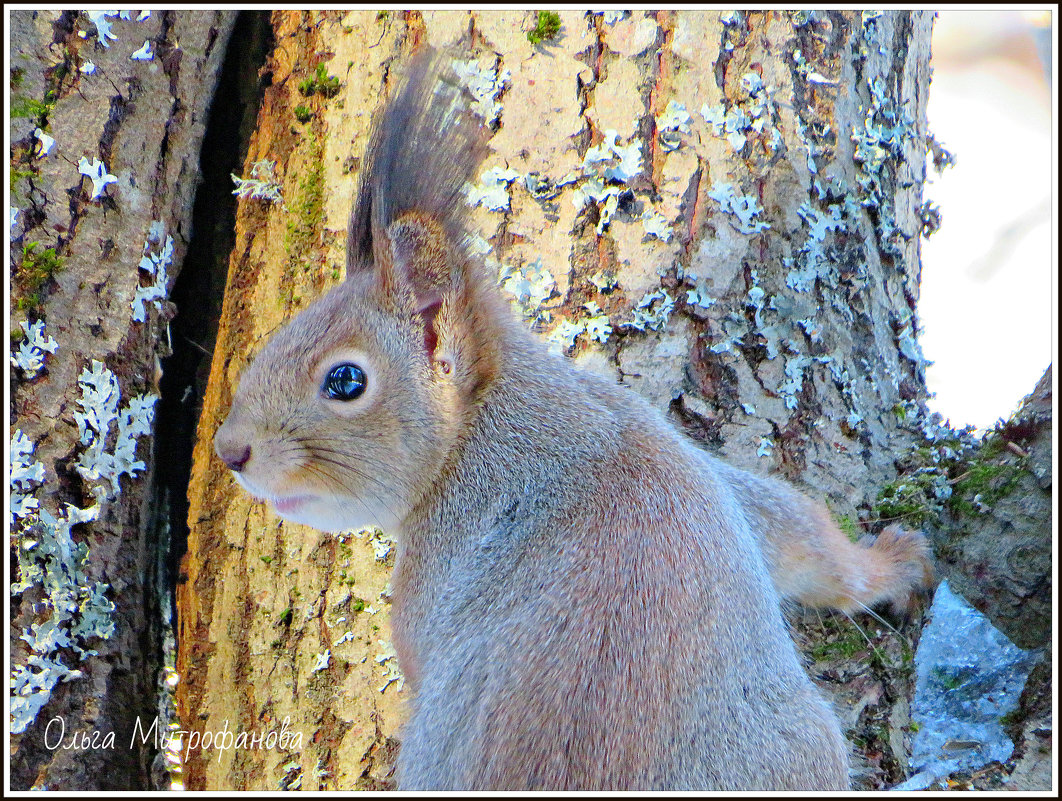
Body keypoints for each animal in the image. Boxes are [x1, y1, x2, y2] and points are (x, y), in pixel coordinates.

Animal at [213, 51, 930, 794]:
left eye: (345, 381)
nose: (229, 451)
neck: (486, 425)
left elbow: (814, 542)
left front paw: (894, 562)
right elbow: (811, 544)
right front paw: (894, 565)